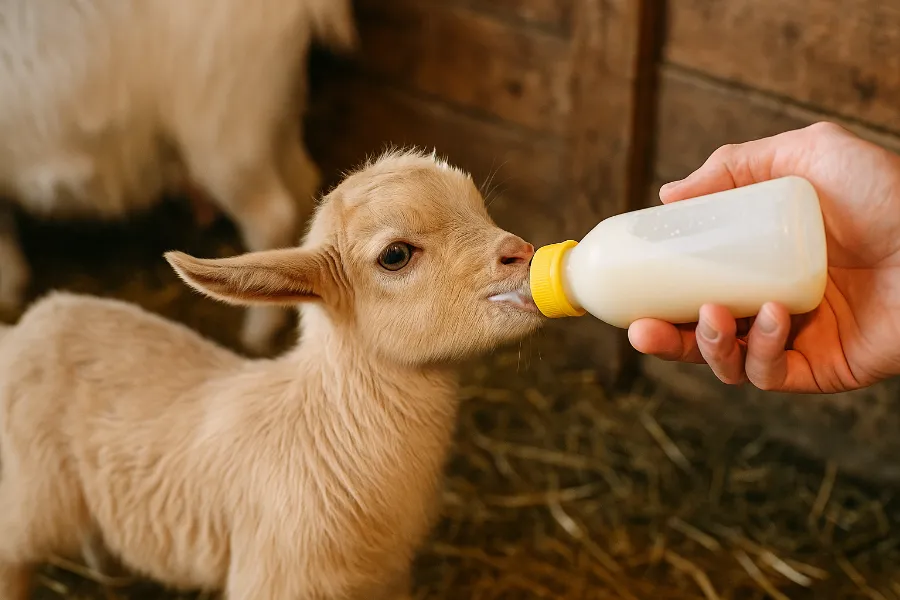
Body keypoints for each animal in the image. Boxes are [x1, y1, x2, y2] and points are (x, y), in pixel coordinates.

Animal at [0, 149, 544, 599]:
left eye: (482, 210)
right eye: (395, 255)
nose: (522, 253)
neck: (332, 429)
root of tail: (30, 324)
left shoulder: (388, 580)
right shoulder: (275, 576)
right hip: (34, 492)